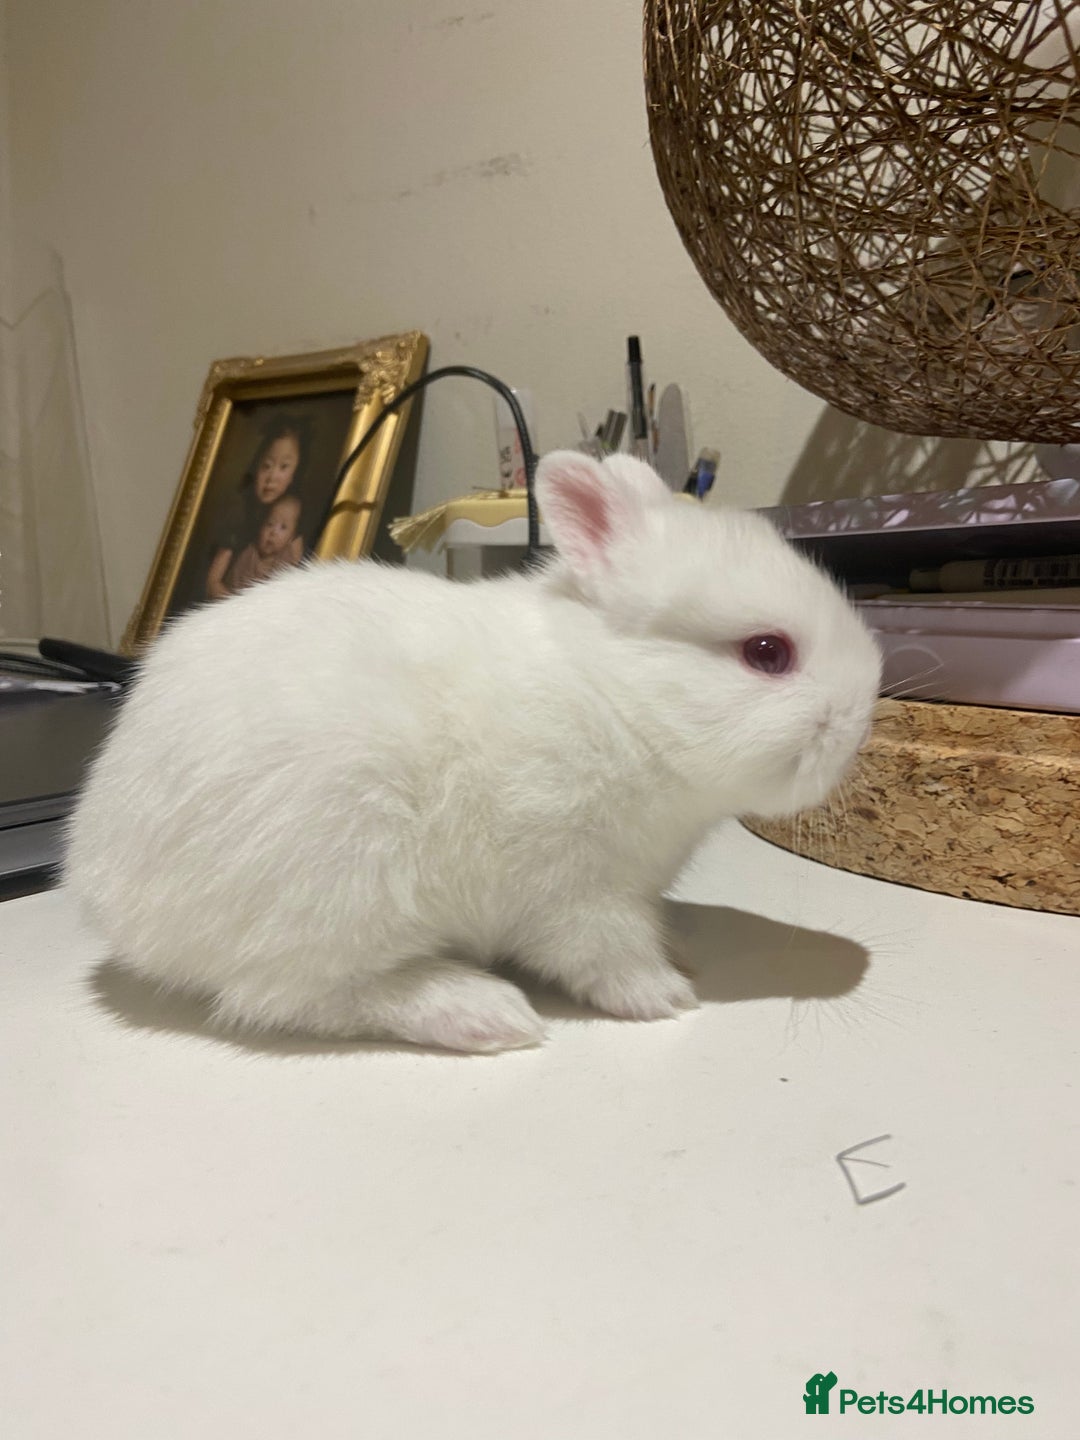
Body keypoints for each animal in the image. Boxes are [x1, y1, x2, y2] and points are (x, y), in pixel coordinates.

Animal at [65, 450, 881, 1054]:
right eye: (767, 653)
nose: (861, 716)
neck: (617, 702)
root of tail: (103, 883)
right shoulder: (574, 891)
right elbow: (605, 956)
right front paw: (665, 996)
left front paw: (679, 954)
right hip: (338, 883)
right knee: (293, 995)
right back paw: (485, 1013)